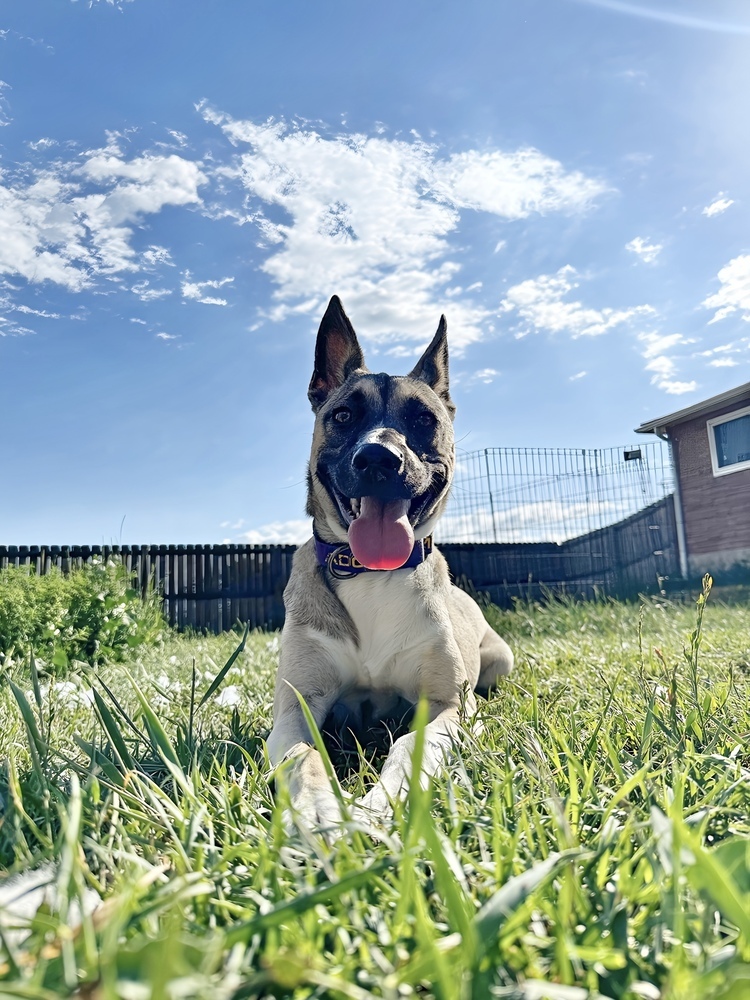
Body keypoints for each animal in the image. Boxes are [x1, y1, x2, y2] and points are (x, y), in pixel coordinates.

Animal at [268, 296, 516, 828]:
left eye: (424, 419)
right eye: (343, 415)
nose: (379, 458)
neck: (372, 573)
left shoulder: (445, 706)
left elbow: (410, 746)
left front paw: (381, 804)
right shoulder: (296, 707)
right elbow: (304, 755)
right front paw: (320, 808)